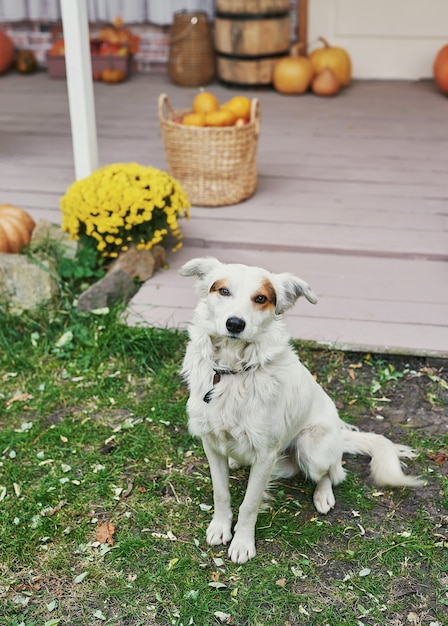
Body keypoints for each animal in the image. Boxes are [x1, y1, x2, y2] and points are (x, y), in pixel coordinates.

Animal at [178, 256, 420, 564]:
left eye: (260, 298)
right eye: (223, 291)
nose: (234, 324)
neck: (233, 371)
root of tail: (340, 433)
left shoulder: (265, 454)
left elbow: (249, 504)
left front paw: (243, 543)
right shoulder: (211, 442)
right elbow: (221, 493)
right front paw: (220, 528)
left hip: (311, 447)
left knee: (333, 472)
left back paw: (323, 496)